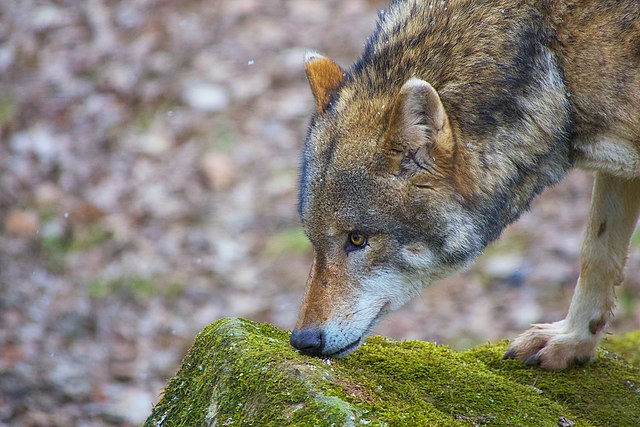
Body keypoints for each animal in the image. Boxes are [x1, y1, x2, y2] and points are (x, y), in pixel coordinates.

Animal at [290, 0, 640, 372]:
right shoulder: (621, 170)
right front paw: (572, 342)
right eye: (314, 242)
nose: (302, 341)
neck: (553, 62)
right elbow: (596, 254)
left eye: (357, 239)